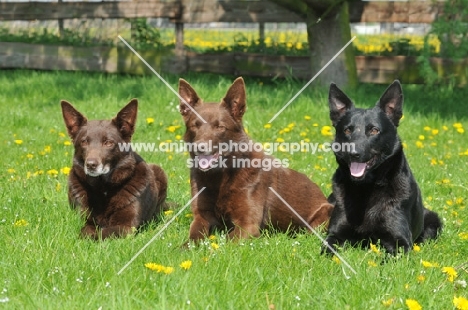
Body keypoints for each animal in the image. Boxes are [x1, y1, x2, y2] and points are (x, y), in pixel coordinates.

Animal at [59, 99, 166, 240]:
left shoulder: (126, 226)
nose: (90, 165)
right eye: (84, 142)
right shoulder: (85, 219)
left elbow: (104, 232)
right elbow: (85, 231)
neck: (103, 188)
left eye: (108, 142)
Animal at [179, 78, 332, 242]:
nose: (199, 147)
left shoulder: (247, 225)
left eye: (219, 127)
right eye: (195, 125)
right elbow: (194, 237)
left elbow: (226, 241)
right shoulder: (201, 217)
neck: (219, 177)